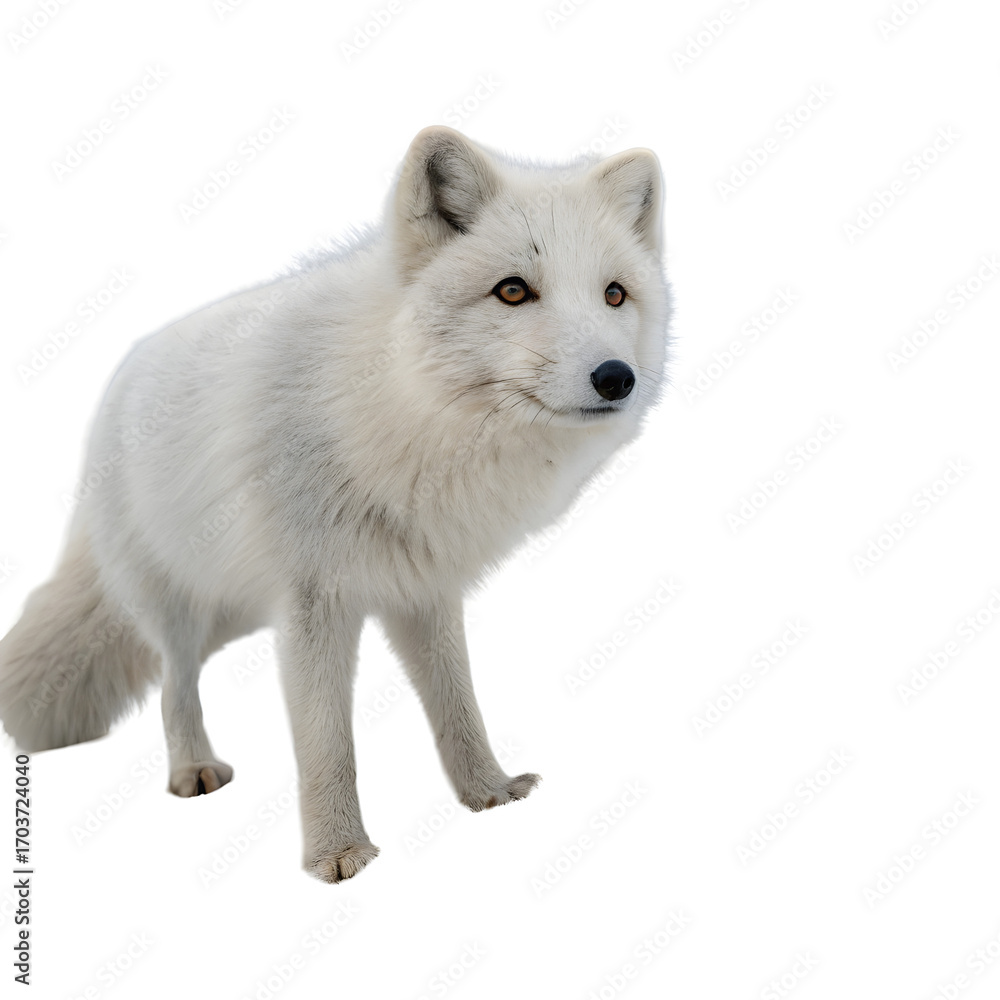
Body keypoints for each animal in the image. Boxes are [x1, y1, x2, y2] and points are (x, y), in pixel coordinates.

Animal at [0, 126, 671, 882]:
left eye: (614, 294)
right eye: (513, 290)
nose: (616, 378)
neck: (405, 414)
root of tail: (122, 375)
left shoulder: (423, 588)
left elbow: (459, 703)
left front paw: (487, 792)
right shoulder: (312, 601)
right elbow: (326, 743)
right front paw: (337, 852)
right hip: (177, 606)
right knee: (175, 684)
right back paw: (193, 768)